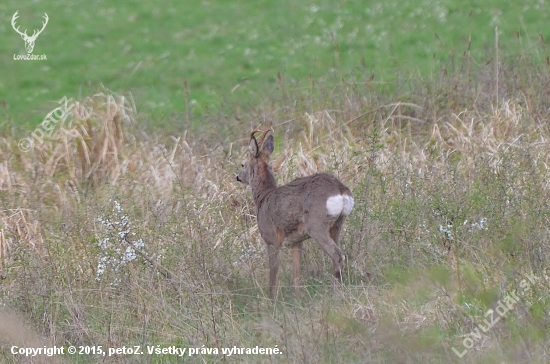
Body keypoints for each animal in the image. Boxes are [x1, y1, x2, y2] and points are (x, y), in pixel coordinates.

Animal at [237, 129, 354, 298]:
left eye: (243, 164)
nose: (238, 176)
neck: (263, 198)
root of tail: (341, 190)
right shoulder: (296, 242)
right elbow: (296, 274)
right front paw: (298, 298)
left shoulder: (271, 239)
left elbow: (273, 274)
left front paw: (271, 300)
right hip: (337, 224)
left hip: (316, 225)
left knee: (337, 255)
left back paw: (335, 293)